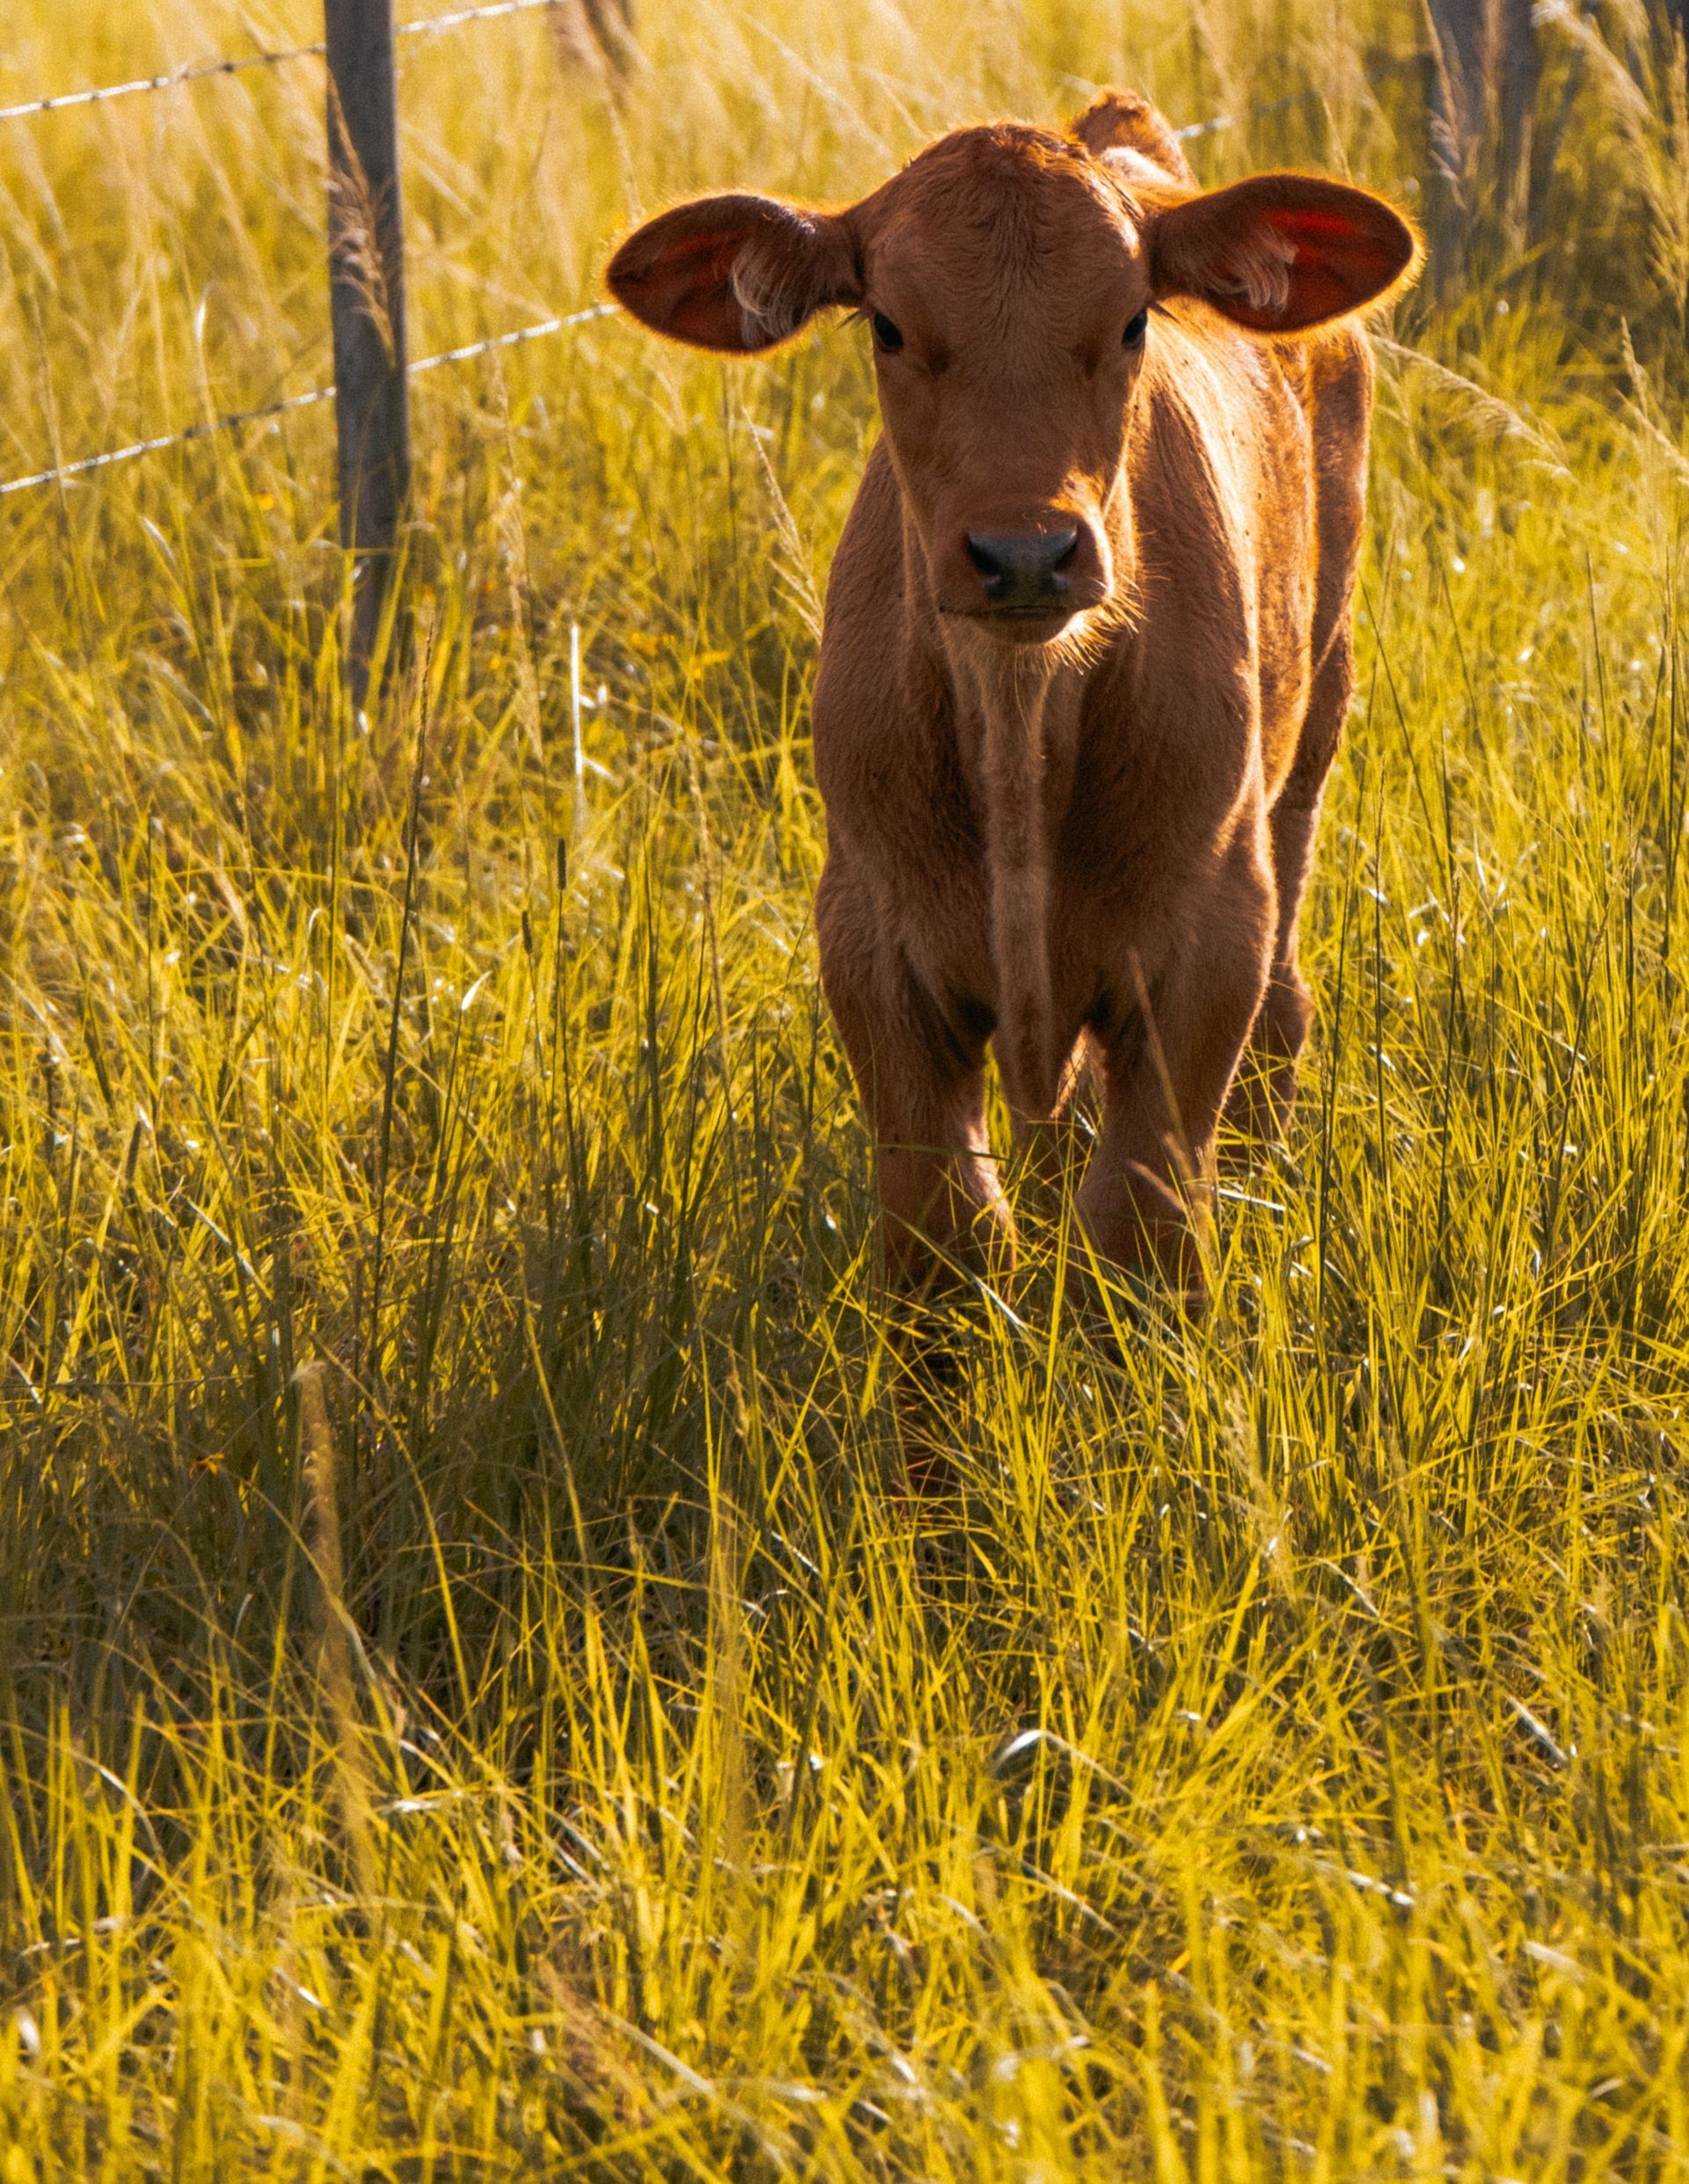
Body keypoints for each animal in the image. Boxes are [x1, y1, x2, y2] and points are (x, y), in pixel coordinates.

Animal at [608, 90, 1418, 1318]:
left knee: (1284, 1003)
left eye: (1133, 321)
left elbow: (1137, 1232)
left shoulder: (1210, 936)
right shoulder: (869, 939)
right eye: (888, 326)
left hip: (1315, 721)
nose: (1025, 553)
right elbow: (946, 1239)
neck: (1022, 730)